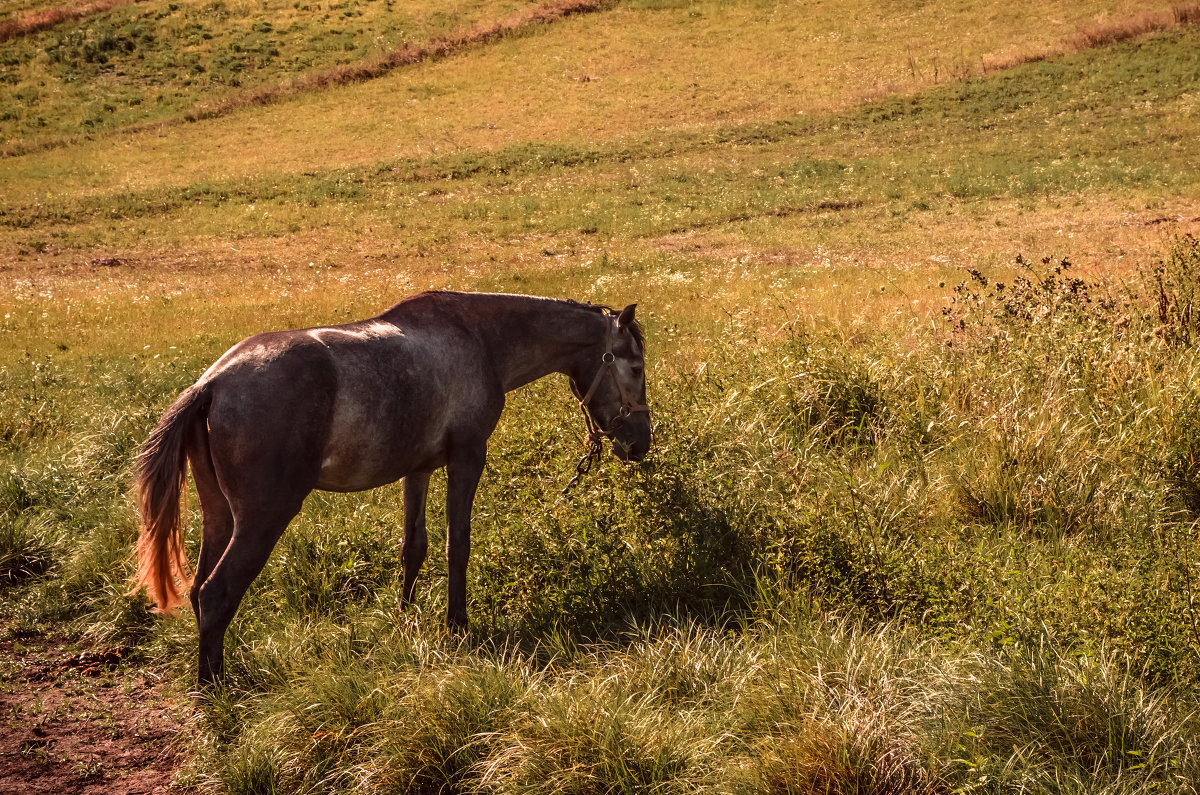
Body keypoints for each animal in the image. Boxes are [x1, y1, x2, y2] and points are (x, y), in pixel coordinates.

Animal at [136, 291, 652, 686]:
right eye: (636, 368)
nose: (640, 444)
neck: (480, 339)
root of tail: (213, 383)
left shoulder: (418, 470)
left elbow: (413, 547)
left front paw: (406, 618)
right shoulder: (468, 459)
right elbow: (457, 545)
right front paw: (456, 626)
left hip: (219, 515)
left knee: (200, 591)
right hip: (263, 518)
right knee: (218, 593)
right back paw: (215, 692)